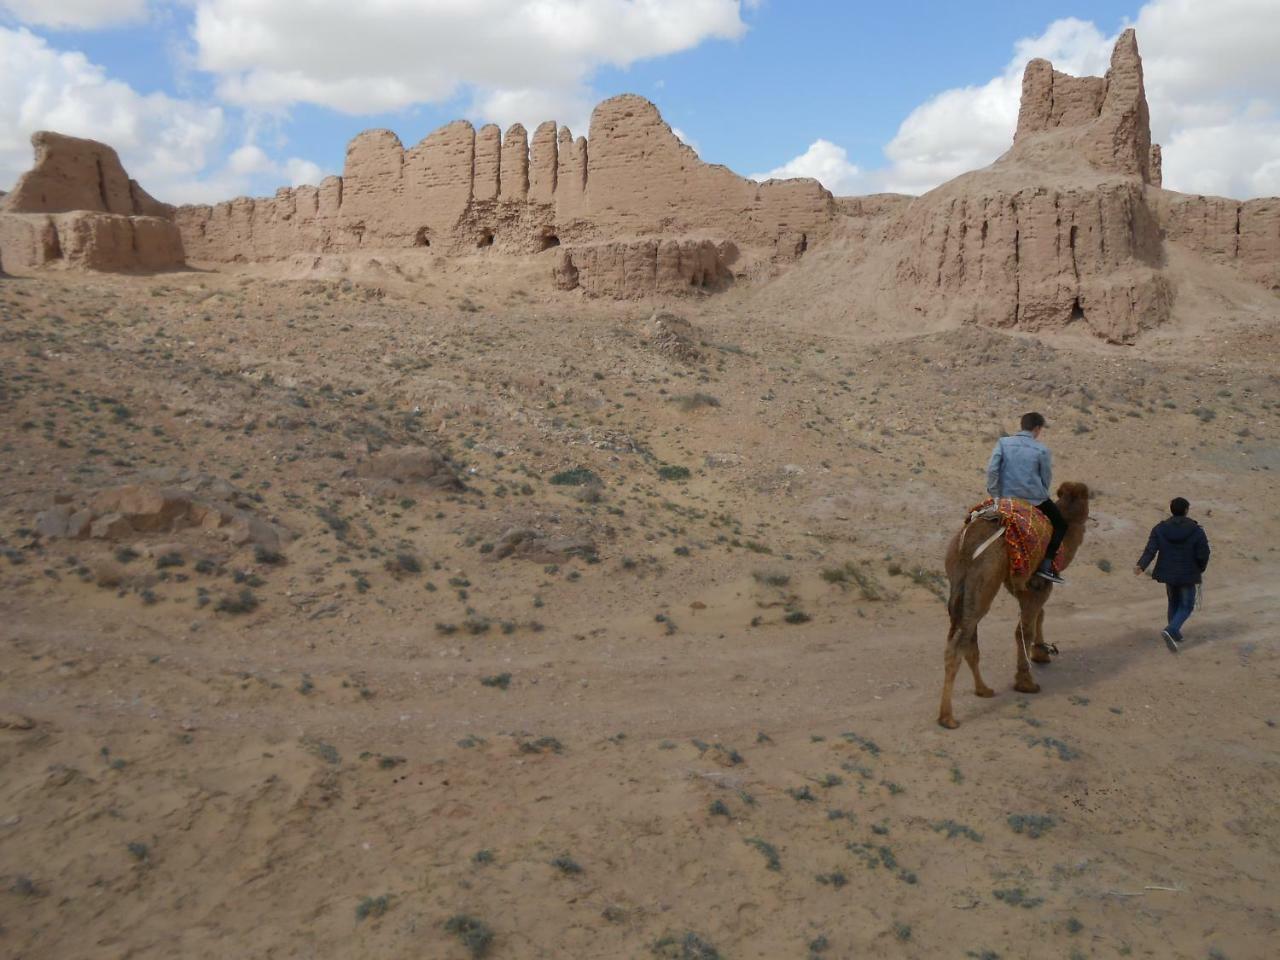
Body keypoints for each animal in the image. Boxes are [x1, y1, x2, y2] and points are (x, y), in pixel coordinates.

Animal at [936, 481, 1095, 727]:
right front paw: (1026, 682)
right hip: (985, 580)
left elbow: (1039, 616)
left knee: (967, 638)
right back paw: (948, 718)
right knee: (960, 642)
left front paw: (1041, 654)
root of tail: (967, 545)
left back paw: (983, 689)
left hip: (960, 581)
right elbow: (1024, 631)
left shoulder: (1023, 586)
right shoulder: (1039, 585)